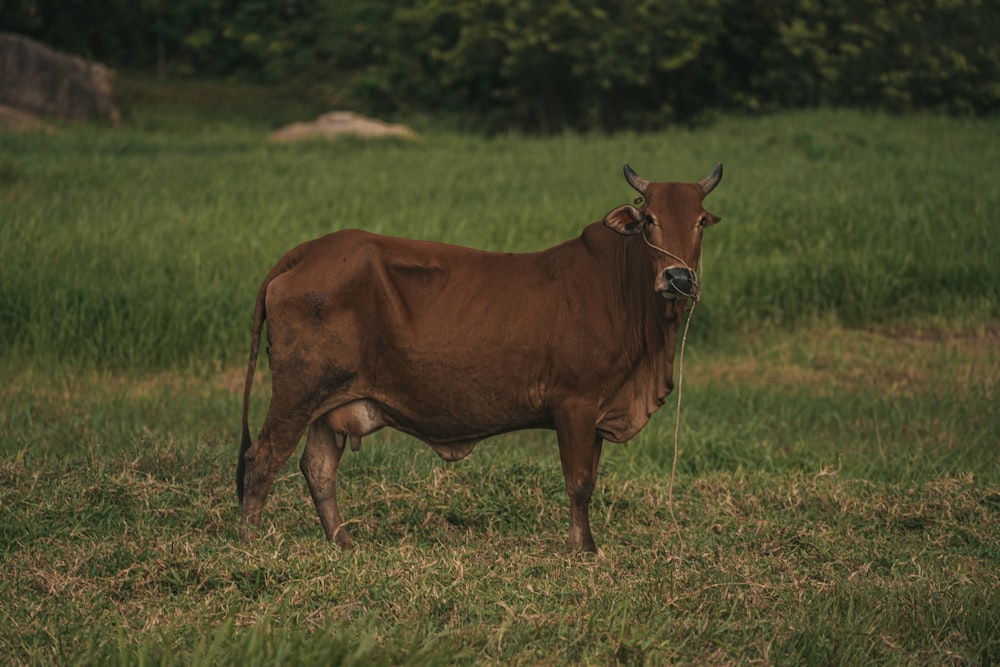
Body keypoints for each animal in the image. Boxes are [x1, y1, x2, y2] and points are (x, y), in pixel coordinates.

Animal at [242, 163, 728, 552]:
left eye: (700, 221)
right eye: (650, 220)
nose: (678, 278)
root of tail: (306, 251)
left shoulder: (597, 412)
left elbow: (588, 479)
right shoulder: (574, 404)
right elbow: (578, 482)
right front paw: (582, 550)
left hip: (329, 402)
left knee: (318, 469)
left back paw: (342, 543)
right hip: (297, 392)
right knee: (262, 458)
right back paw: (252, 545)